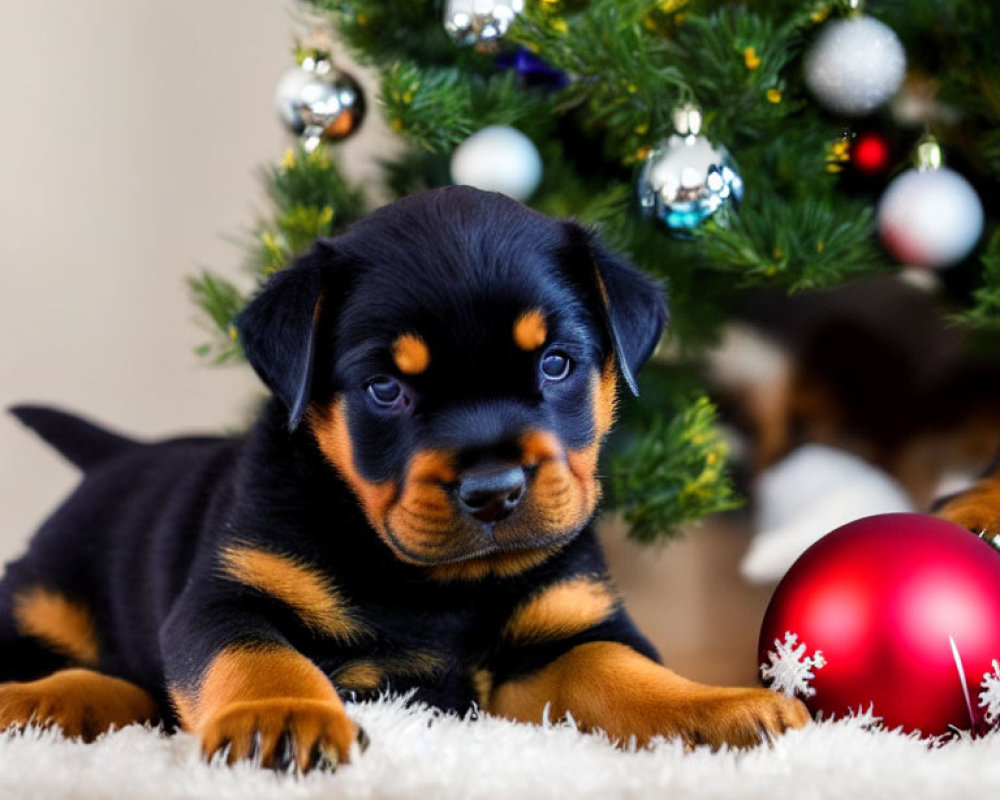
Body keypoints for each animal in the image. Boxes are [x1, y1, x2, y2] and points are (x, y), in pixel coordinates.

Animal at [0, 186, 808, 768]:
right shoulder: (227, 597)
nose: (495, 490)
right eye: (386, 388)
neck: (435, 586)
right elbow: (257, 656)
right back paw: (32, 699)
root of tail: (118, 454)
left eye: (556, 363)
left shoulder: (562, 634)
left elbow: (620, 669)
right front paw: (282, 718)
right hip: (38, 599)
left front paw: (720, 707)